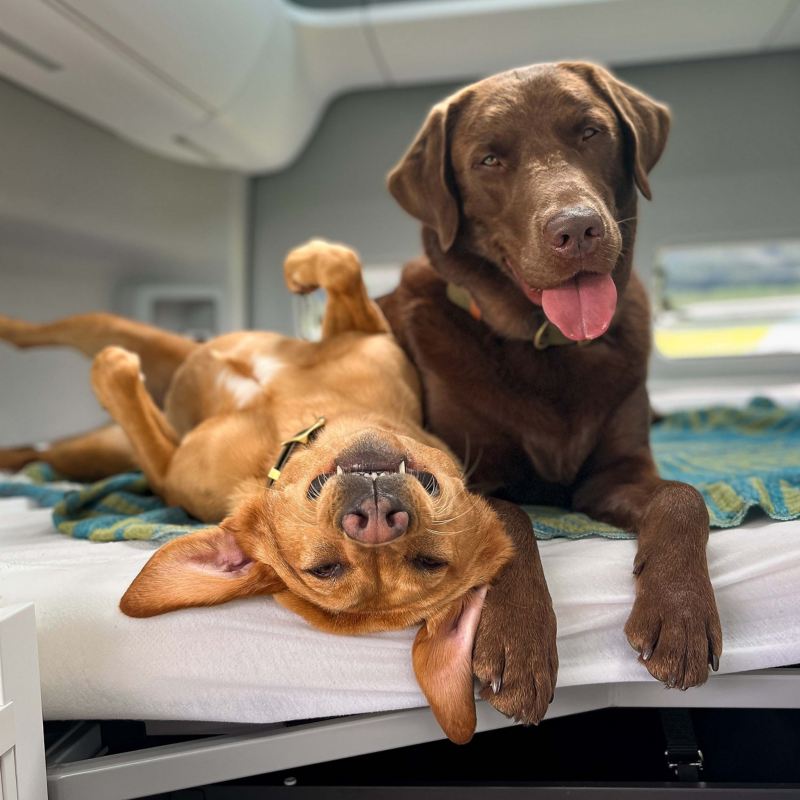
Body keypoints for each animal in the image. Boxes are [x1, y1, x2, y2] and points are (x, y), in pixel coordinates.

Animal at [0, 239, 552, 744]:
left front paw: (114, 372)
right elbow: (343, 265)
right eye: (323, 568)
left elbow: (130, 406)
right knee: (51, 348)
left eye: (427, 562)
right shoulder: (366, 335)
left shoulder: (164, 469)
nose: (377, 521)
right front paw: (304, 266)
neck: (300, 421)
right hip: (120, 388)